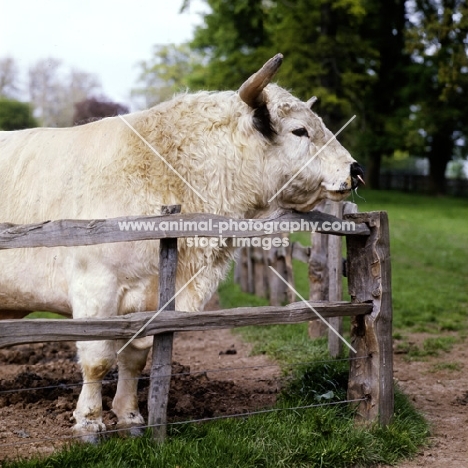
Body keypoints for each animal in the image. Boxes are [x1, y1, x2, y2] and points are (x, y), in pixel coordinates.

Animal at [0, 54, 366, 438]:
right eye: (300, 130)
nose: (355, 169)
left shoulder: (149, 301)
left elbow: (133, 360)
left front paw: (130, 415)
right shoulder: (94, 287)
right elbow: (97, 360)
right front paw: (89, 422)